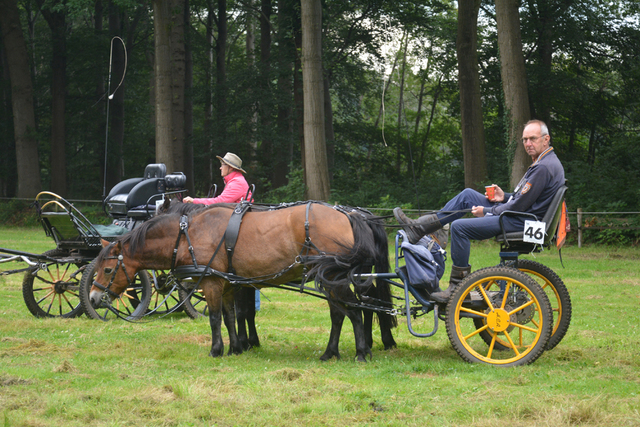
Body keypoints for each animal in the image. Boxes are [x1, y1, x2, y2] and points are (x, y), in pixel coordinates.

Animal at [91, 203, 396, 362]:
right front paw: (236, 347)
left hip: (334, 278)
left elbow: (215, 318)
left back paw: (361, 351)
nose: (93, 298)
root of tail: (351, 216)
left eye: (107, 269)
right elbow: (231, 317)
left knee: (354, 311)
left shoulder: (212, 283)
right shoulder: (227, 284)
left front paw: (216, 350)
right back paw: (331, 352)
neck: (188, 234)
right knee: (342, 313)